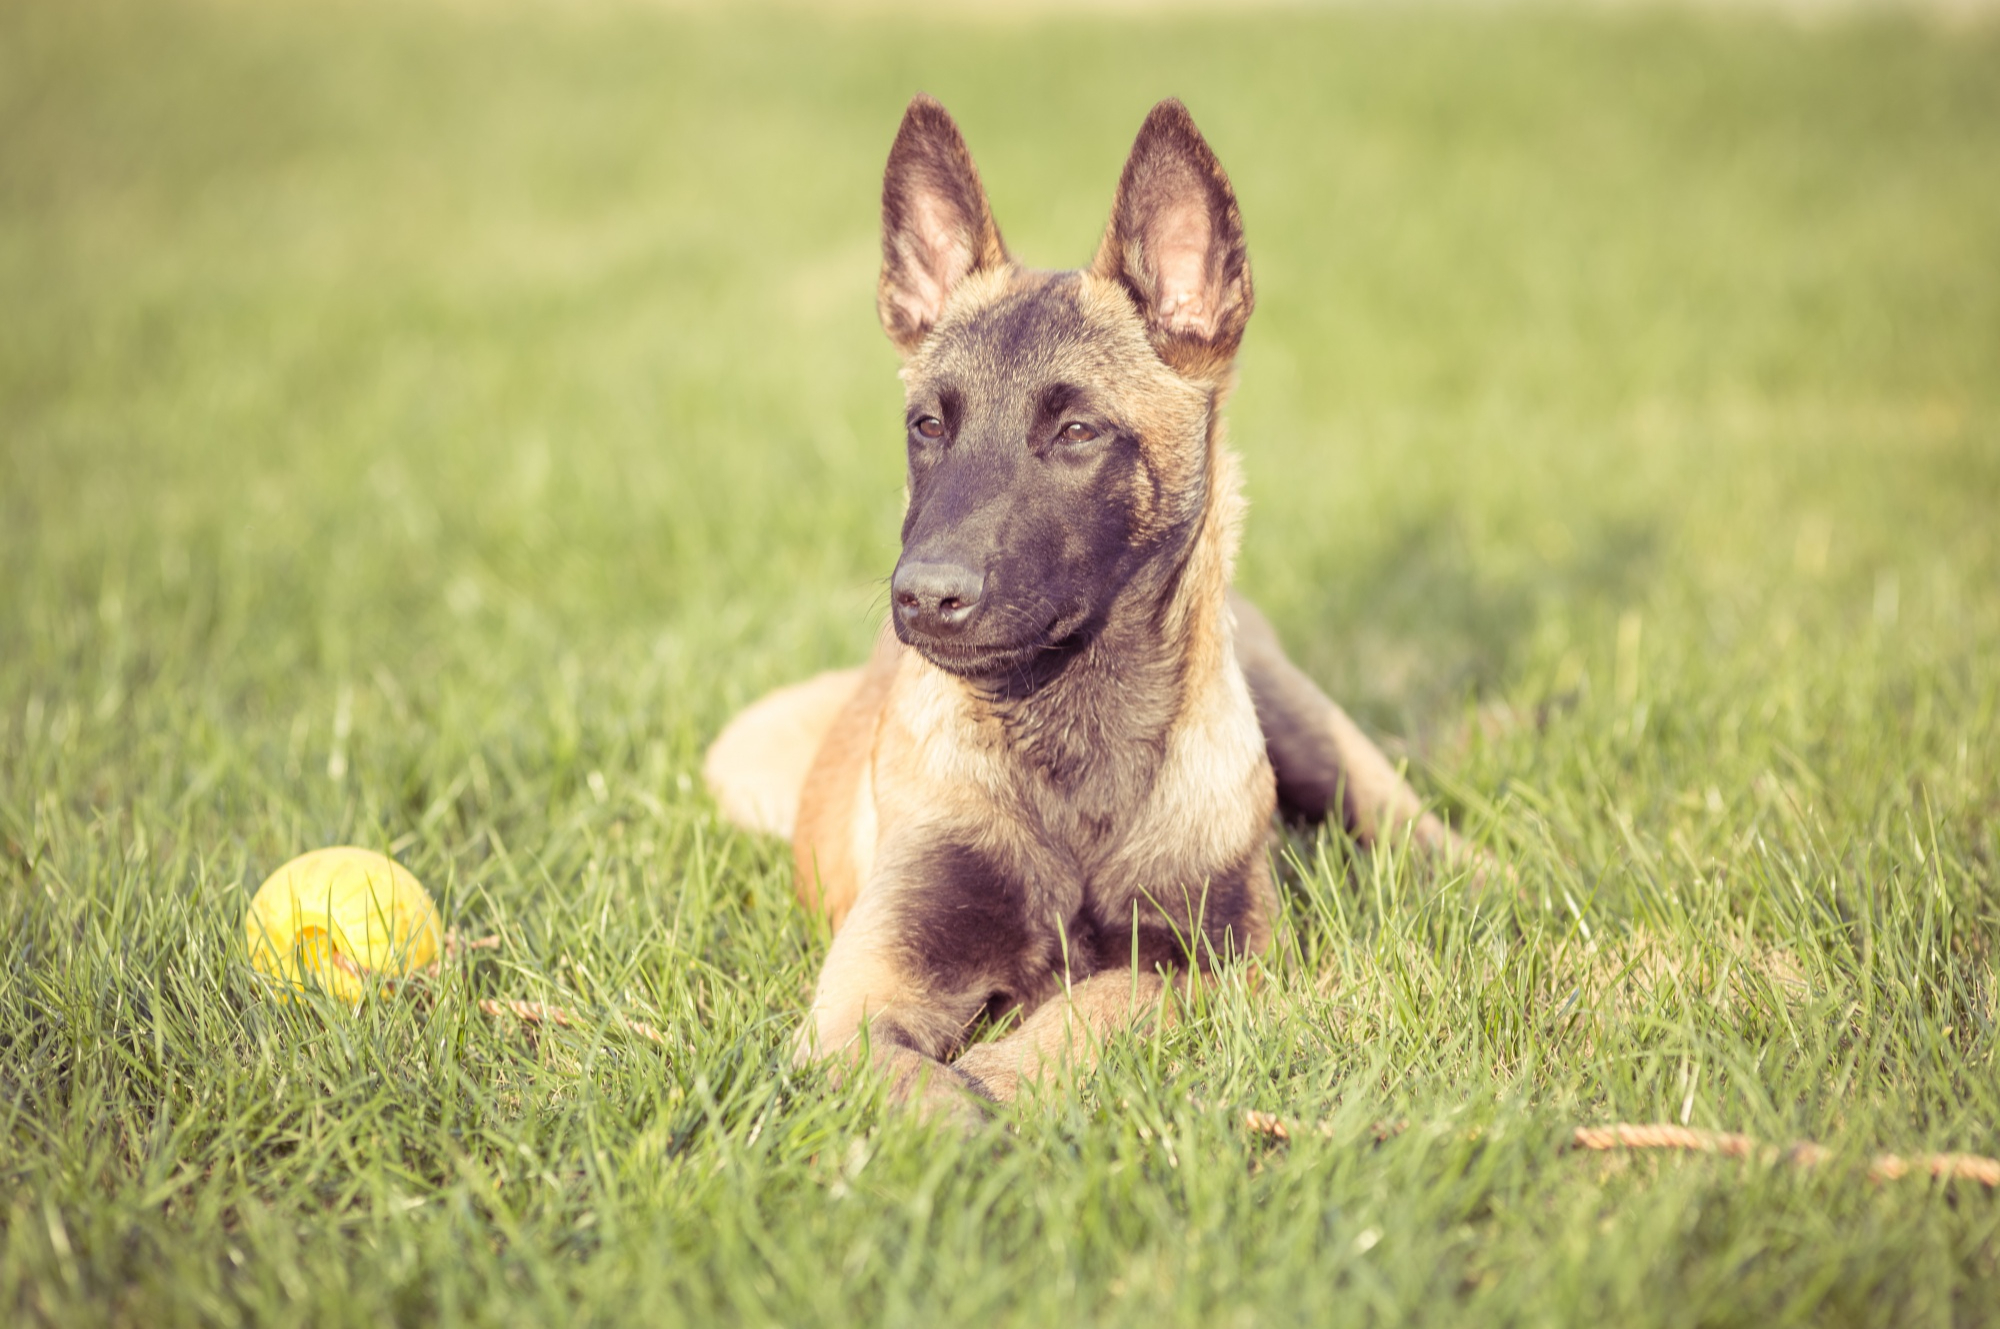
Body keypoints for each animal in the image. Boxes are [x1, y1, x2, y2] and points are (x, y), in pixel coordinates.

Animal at [704, 93, 1472, 1120]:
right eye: (927, 425)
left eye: (1076, 431)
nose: (923, 596)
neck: (1075, 749)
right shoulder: (859, 996)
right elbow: (907, 1074)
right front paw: (968, 1114)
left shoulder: (1229, 960)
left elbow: (1119, 989)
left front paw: (1011, 1068)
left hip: (1320, 740)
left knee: (1422, 833)